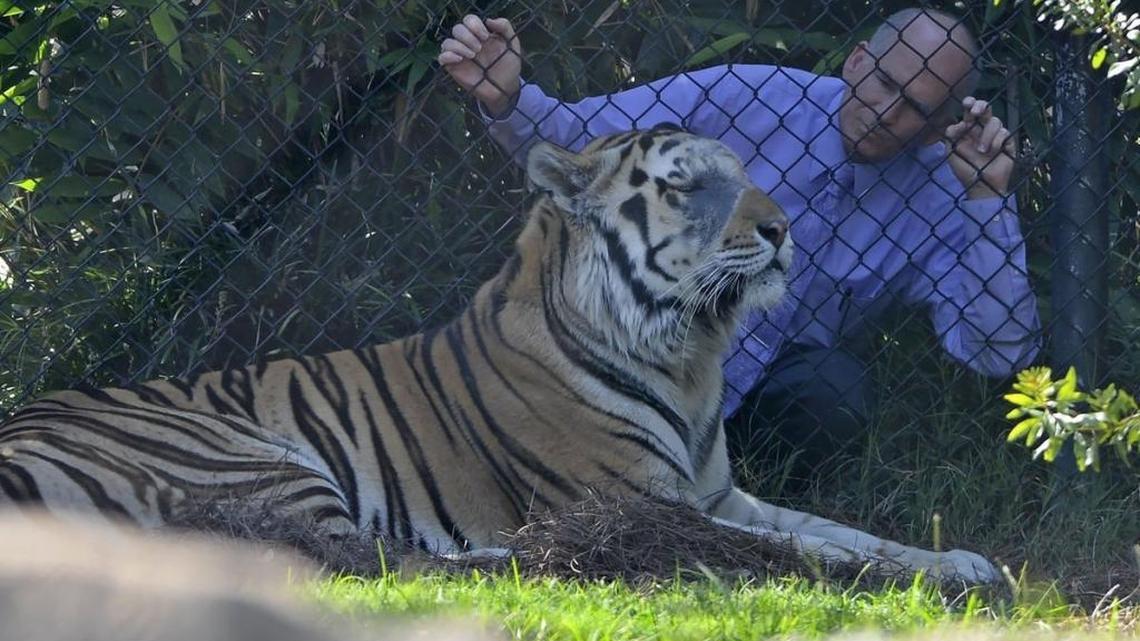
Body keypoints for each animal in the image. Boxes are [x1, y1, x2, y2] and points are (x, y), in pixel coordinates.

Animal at [0, 126, 997, 583]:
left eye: (744, 171)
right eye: (685, 188)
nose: (784, 228)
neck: (686, 351)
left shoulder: (721, 493)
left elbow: (847, 531)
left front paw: (966, 561)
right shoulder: (653, 502)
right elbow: (815, 551)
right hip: (251, 458)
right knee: (367, 558)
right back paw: (535, 549)